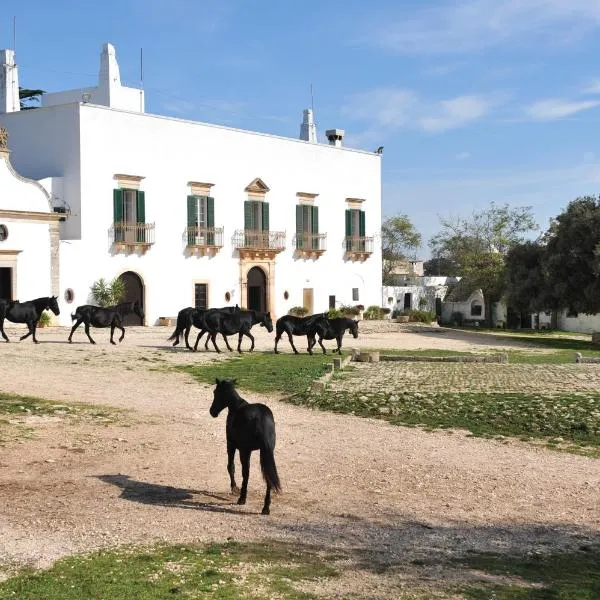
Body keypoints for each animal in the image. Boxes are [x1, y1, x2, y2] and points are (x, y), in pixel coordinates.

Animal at [209, 380, 282, 516]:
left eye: (215, 392)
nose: (212, 411)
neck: (236, 406)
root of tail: (262, 418)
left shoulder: (231, 445)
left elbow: (231, 467)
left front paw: (234, 488)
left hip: (245, 451)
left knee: (246, 473)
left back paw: (242, 498)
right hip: (265, 453)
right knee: (268, 477)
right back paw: (266, 508)